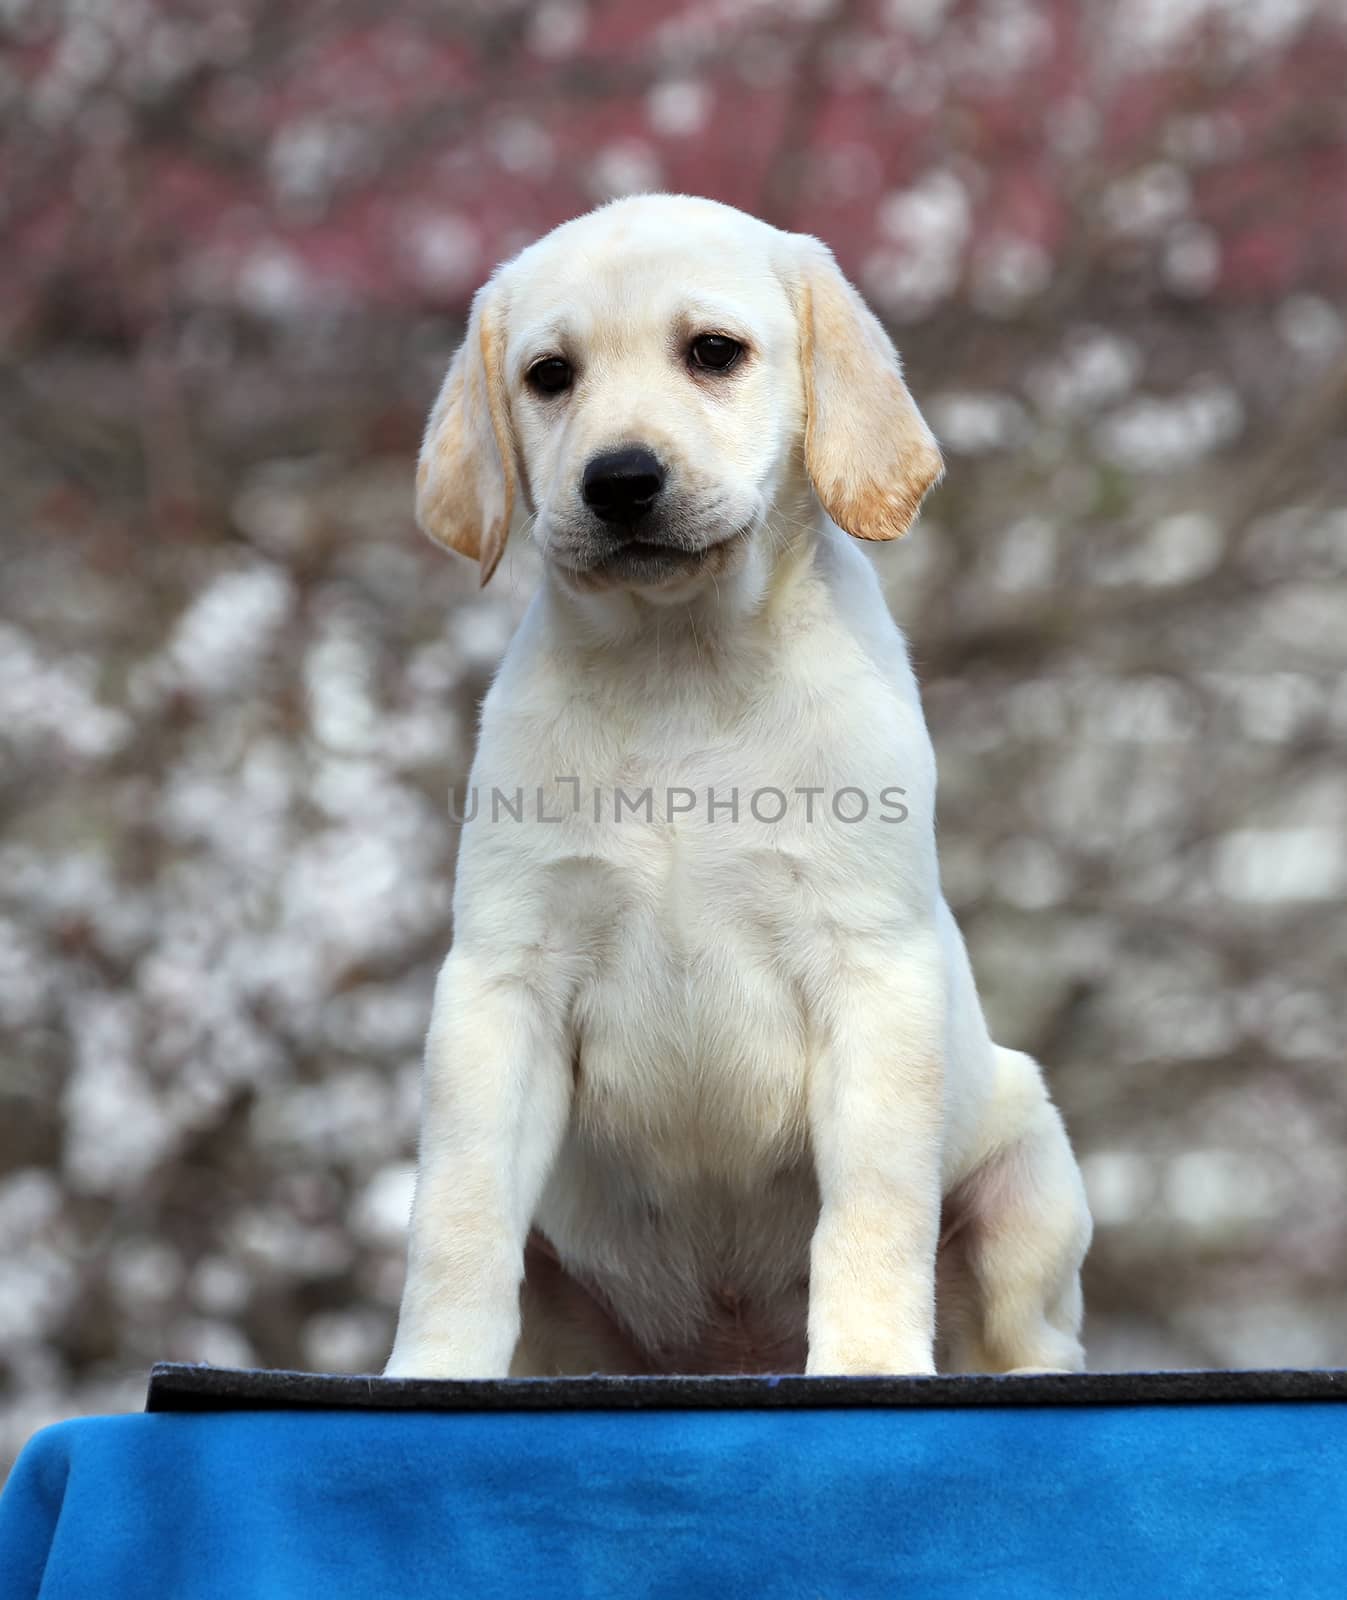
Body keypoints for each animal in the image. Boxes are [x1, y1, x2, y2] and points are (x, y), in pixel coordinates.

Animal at [383, 196, 1087, 1376]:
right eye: (548, 375)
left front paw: (869, 1363)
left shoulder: (869, 974)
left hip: (1030, 1180)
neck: (683, 669)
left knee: (1036, 1341)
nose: (620, 481)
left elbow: (872, 1208)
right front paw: (432, 1370)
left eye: (713, 353)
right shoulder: (503, 981)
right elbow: (460, 1210)